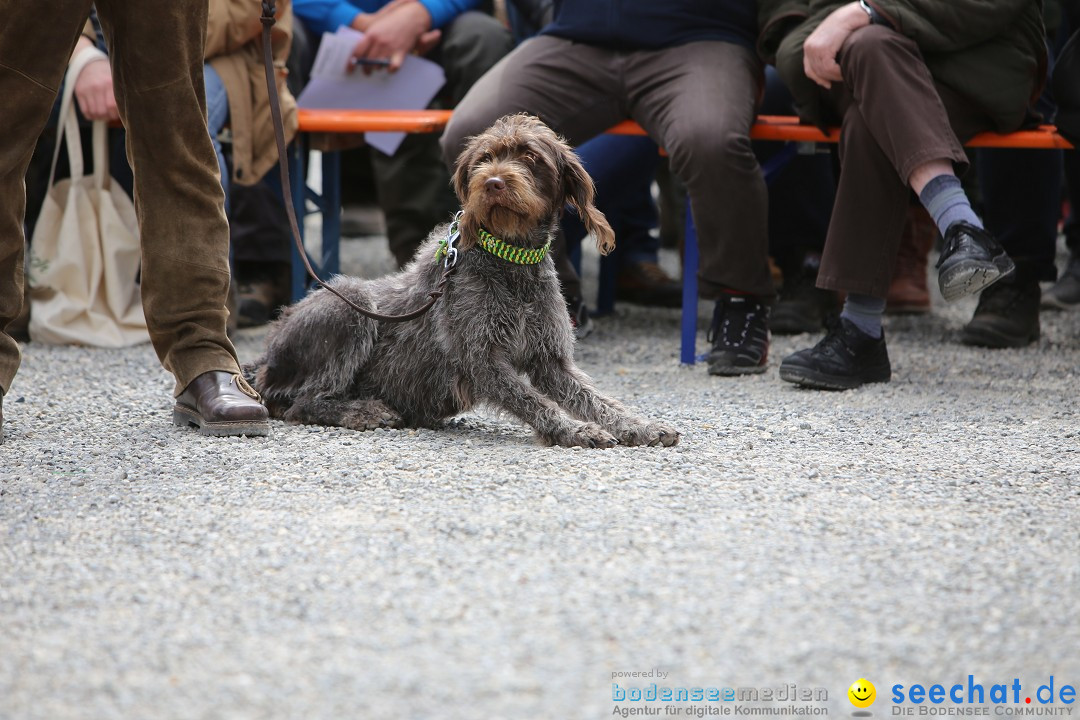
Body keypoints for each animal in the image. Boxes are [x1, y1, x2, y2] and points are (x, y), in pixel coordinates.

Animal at [248, 114, 678, 446]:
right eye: (484, 158)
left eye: (531, 157)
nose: (493, 182)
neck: (511, 261)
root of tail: (266, 354)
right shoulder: (482, 361)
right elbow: (536, 402)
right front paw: (575, 430)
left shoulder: (550, 361)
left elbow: (596, 399)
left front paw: (638, 425)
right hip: (350, 303)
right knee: (300, 402)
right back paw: (363, 411)